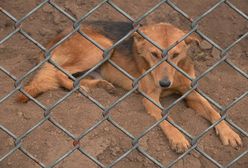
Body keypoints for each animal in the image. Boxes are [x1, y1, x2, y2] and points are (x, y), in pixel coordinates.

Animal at [17, 22, 242, 154]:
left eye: (176, 55)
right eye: (154, 54)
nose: (164, 84)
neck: (174, 74)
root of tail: (52, 41)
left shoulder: (190, 92)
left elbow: (214, 111)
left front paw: (229, 133)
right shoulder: (150, 98)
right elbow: (166, 119)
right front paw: (177, 138)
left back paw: (101, 85)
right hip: (102, 46)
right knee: (58, 72)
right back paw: (83, 89)